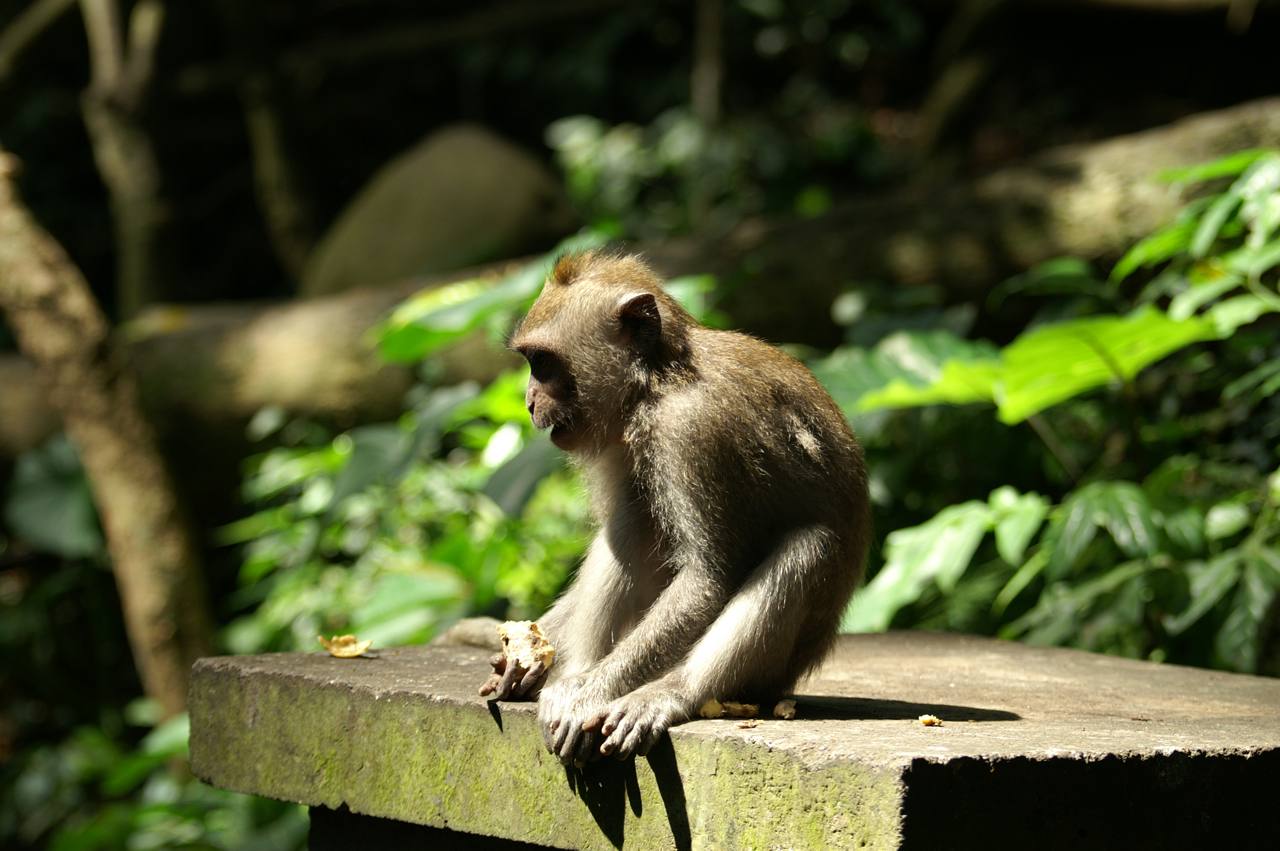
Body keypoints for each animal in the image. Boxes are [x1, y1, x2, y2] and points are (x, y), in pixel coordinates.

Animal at [481, 250, 870, 762]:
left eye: (542, 363)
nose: (528, 402)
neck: (658, 382)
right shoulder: (620, 440)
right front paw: (525, 656)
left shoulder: (690, 430)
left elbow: (709, 578)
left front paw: (587, 693)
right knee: (634, 516)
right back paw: (568, 674)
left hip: (774, 672)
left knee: (810, 548)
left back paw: (660, 692)